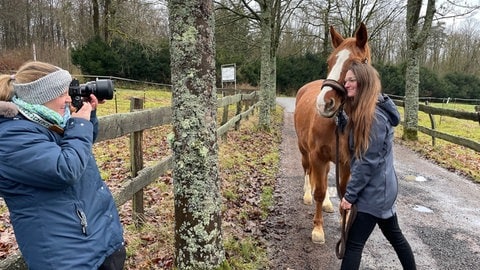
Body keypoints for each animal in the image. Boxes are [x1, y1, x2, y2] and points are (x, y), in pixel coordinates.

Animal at [292, 22, 372, 244]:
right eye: (330, 61)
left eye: (356, 63)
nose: (324, 103)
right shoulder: (317, 156)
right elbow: (319, 190)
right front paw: (318, 229)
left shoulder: (346, 162)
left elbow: (343, 193)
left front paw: (344, 225)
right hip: (305, 151)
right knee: (307, 170)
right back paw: (307, 195)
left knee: (326, 176)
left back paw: (328, 203)